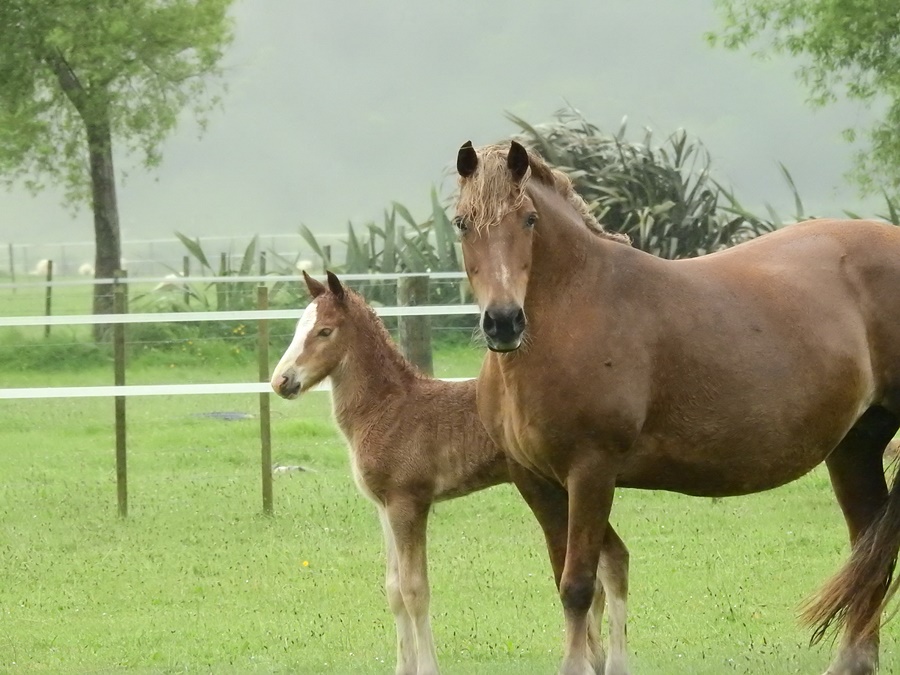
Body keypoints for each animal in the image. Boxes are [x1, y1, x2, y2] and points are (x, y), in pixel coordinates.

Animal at [269, 271, 625, 674]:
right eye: (298, 328)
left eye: (325, 331)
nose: (281, 381)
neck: (386, 408)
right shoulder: (384, 507)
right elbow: (393, 589)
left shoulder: (408, 503)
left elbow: (414, 590)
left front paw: (426, 667)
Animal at [452, 138, 900, 675]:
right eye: (461, 222)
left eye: (529, 219)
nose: (503, 322)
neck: (575, 309)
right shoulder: (535, 480)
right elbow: (572, 581)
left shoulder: (591, 472)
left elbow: (578, 585)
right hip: (855, 447)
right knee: (869, 555)